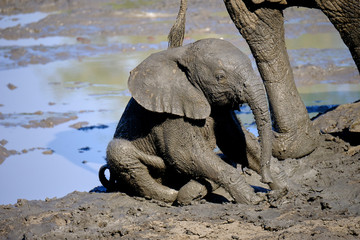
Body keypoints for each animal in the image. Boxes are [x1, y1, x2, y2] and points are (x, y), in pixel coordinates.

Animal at [100, 38, 286, 204]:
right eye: (220, 77)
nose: (266, 180)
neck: (184, 52)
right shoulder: (169, 112)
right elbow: (184, 154)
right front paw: (254, 200)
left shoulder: (219, 108)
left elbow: (236, 143)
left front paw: (284, 188)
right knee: (119, 150)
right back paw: (175, 195)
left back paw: (195, 191)